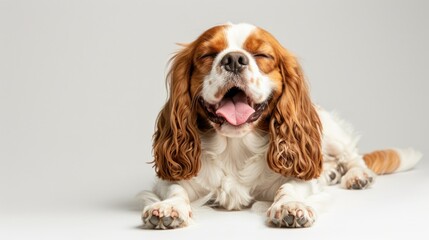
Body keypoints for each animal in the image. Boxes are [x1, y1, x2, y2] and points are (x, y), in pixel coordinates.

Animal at [138, 23, 422, 230]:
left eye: (262, 55)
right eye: (207, 55)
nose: (234, 59)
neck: (235, 145)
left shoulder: (298, 175)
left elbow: (291, 187)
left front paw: (290, 206)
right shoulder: (170, 179)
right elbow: (174, 189)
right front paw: (169, 207)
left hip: (332, 132)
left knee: (353, 156)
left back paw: (356, 176)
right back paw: (331, 172)